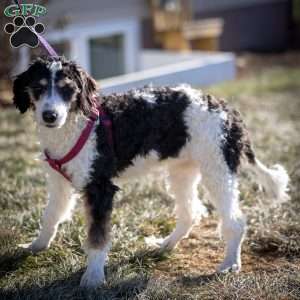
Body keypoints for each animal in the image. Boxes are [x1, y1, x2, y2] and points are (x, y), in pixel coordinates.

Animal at [12, 56, 290, 288]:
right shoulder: (59, 183)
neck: (77, 123)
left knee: (235, 221)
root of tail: (225, 108)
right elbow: (51, 216)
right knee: (190, 212)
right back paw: (166, 245)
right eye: (38, 87)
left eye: (67, 89)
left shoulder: (100, 188)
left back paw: (230, 263)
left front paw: (93, 277)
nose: (49, 116)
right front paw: (36, 246)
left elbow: (97, 237)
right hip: (182, 171)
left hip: (218, 171)